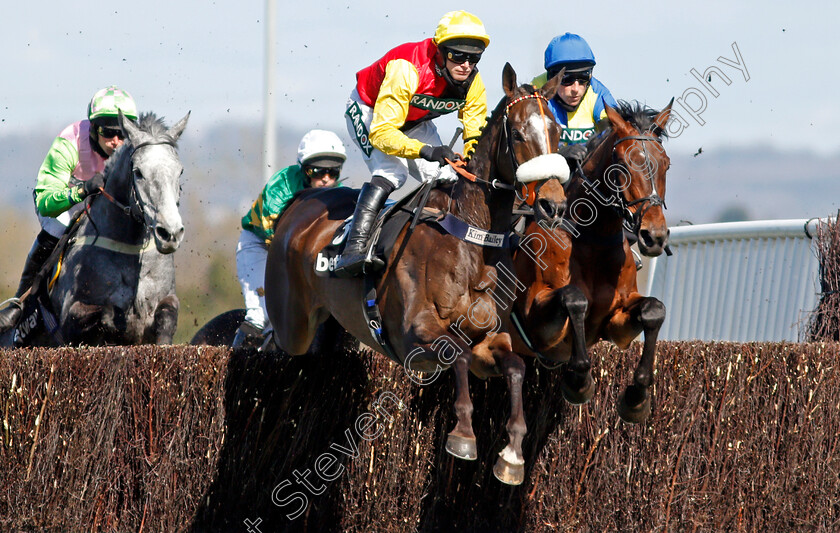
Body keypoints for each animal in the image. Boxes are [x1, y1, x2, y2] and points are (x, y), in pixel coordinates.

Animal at [4, 110, 189, 348]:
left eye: (179, 171)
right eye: (138, 172)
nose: (170, 233)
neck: (129, 250)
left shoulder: (167, 301)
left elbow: (166, 319)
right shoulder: (70, 316)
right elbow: (107, 314)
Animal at [262, 64, 568, 484]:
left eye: (556, 132)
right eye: (520, 134)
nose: (554, 204)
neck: (469, 237)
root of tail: (299, 204)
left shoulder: (486, 342)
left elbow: (517, 367)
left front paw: (512, 455)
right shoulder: (414, 335)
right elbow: (455, 354)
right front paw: (463, 436)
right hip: (292, 323)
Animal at [498, 100, 676, 422]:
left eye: (666, 164)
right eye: (624, 166)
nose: (654, 236)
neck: (592, 239)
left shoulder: (615, 321)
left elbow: (654, 310)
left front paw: (637, 398)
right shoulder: (533, 319)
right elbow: (574, 299)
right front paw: (578, 382)